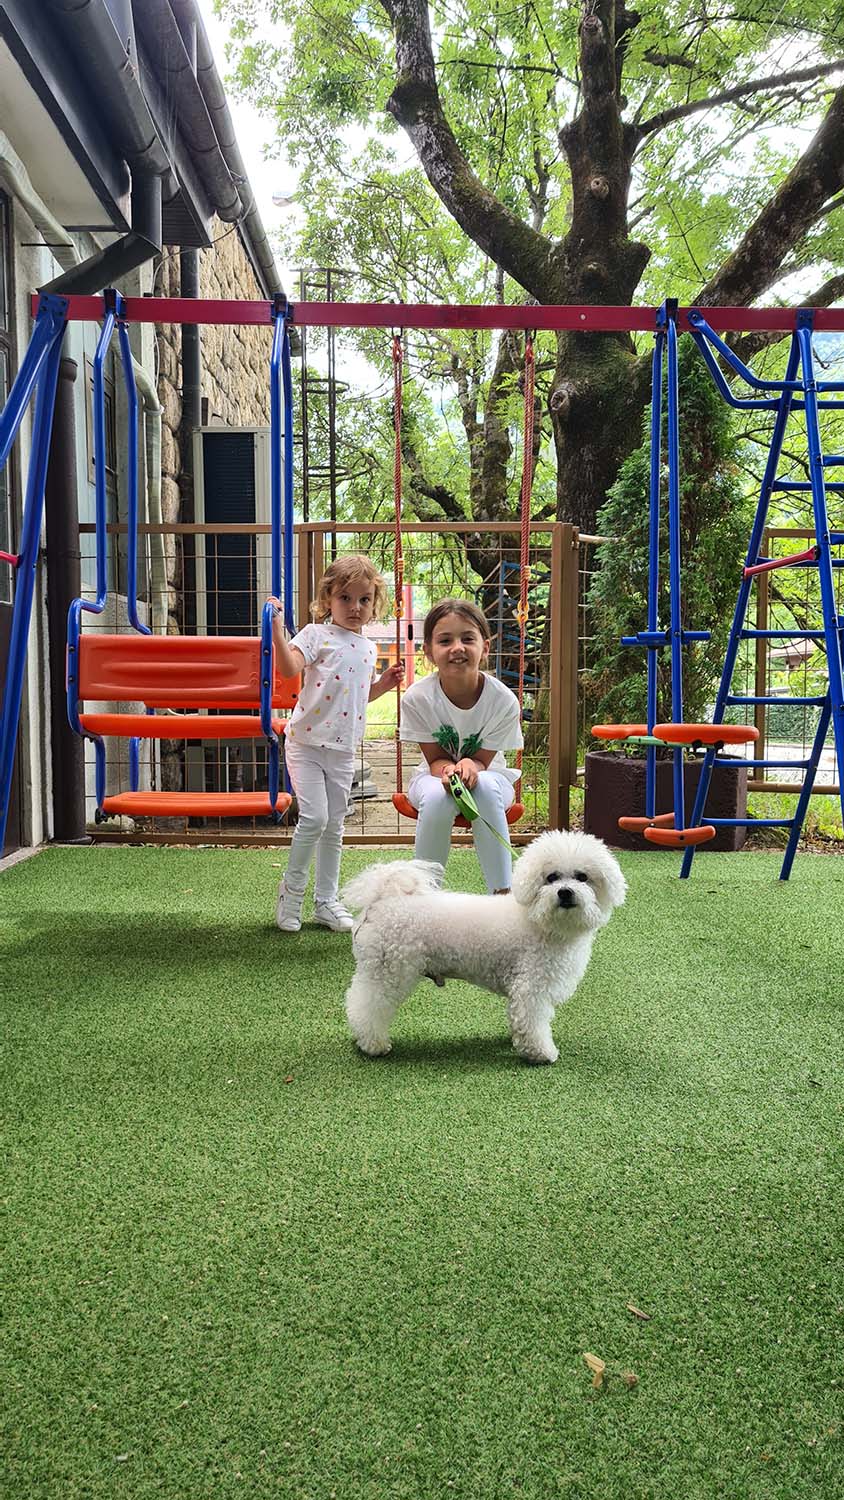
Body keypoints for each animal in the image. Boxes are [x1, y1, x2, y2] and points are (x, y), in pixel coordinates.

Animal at [342, 830, 626, 1064]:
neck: (540, 922)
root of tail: (381, 900)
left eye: (583, 877)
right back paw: (373, 1044)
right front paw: (542, 1053)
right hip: (387, 972)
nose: (565, 892)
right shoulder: (531, 987)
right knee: (366, 1006)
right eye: (551, 877)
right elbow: (533, 1023)